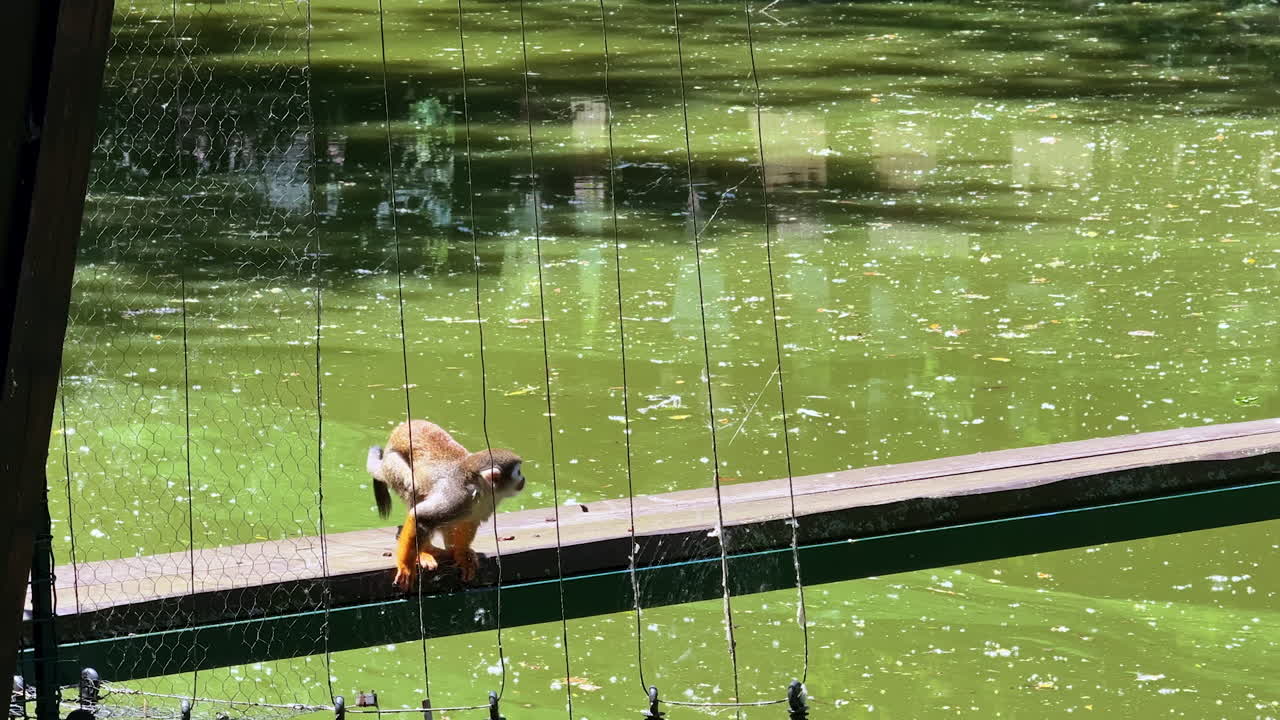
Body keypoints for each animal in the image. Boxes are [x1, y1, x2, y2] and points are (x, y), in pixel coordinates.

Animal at [366, 419, 526, 591]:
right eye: (518, 472)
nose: (523, 479)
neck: (481, 489)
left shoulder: (487, 502)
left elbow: (470, 521)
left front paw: (462, 554)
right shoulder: (457, 496)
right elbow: (420, 516)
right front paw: (406, 566)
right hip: (392, 463)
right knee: (412, 486)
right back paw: (424, 552)